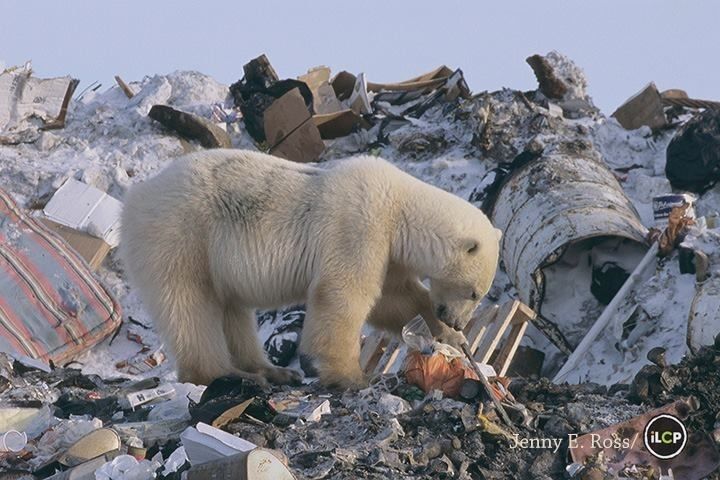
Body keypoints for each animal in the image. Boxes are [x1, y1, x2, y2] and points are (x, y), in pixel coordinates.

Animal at [119, 151, 500, 390]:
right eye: (473, 292)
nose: (457, 321)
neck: (398, 207)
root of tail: (133, 200)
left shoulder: (388, 251)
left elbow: (396, 299)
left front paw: (449, 338)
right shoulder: (359, 226)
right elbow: (344, 293)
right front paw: (351, 377)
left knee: (231, 309)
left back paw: (270, 371)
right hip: (181, 235)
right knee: (189, 303)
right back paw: (226, 375)